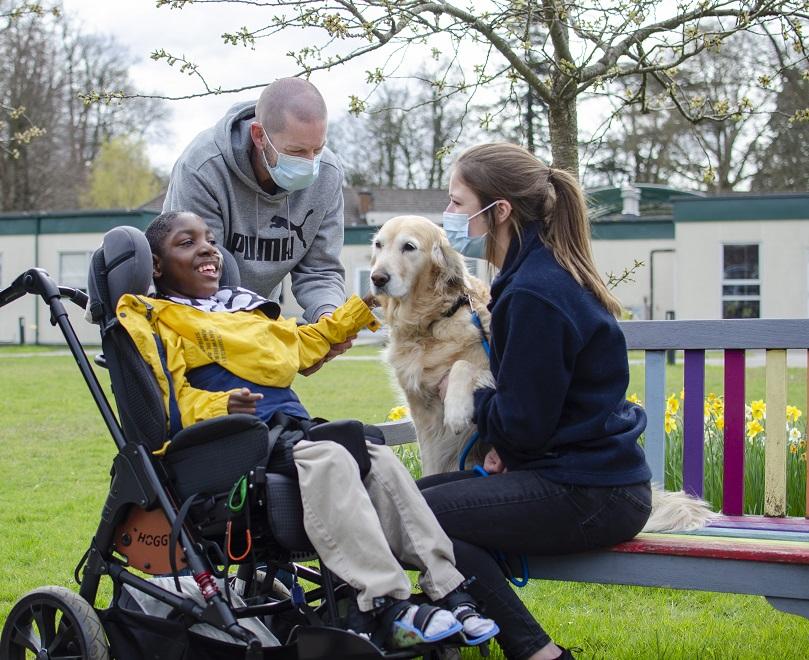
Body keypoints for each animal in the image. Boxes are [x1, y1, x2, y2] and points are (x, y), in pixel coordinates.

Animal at [368, 214, 712, 532]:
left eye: (409, 247)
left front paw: (456, 410)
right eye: (379, 245)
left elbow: (461, 367)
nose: (377, 278)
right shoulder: (422, 415)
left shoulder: (492, 363)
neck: (431, 322)